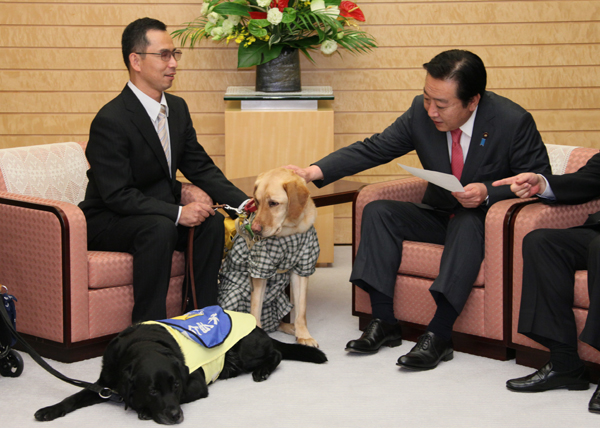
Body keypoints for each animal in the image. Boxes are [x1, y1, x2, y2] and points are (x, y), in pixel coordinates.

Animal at [35, 322, 326, 422]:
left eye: (175, 386)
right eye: (153, 390)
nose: (176, 417)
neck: (144, 343)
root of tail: (259, 328)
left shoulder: (196, 385)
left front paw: (143, 410)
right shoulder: (104, 382)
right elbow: (74, 397)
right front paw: (50, 410)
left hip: (244, 349)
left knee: (277, 354)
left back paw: (263, 371)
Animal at [218, 167, 322, 348]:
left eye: (273, 203)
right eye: (257, 202)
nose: (254, 229)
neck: (288, 232)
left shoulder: (302, 268)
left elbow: (301, 311)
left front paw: (303, 334)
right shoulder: (260, 270)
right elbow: (255, 311)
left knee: (279, 323)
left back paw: (291, 327)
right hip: (235, 293)